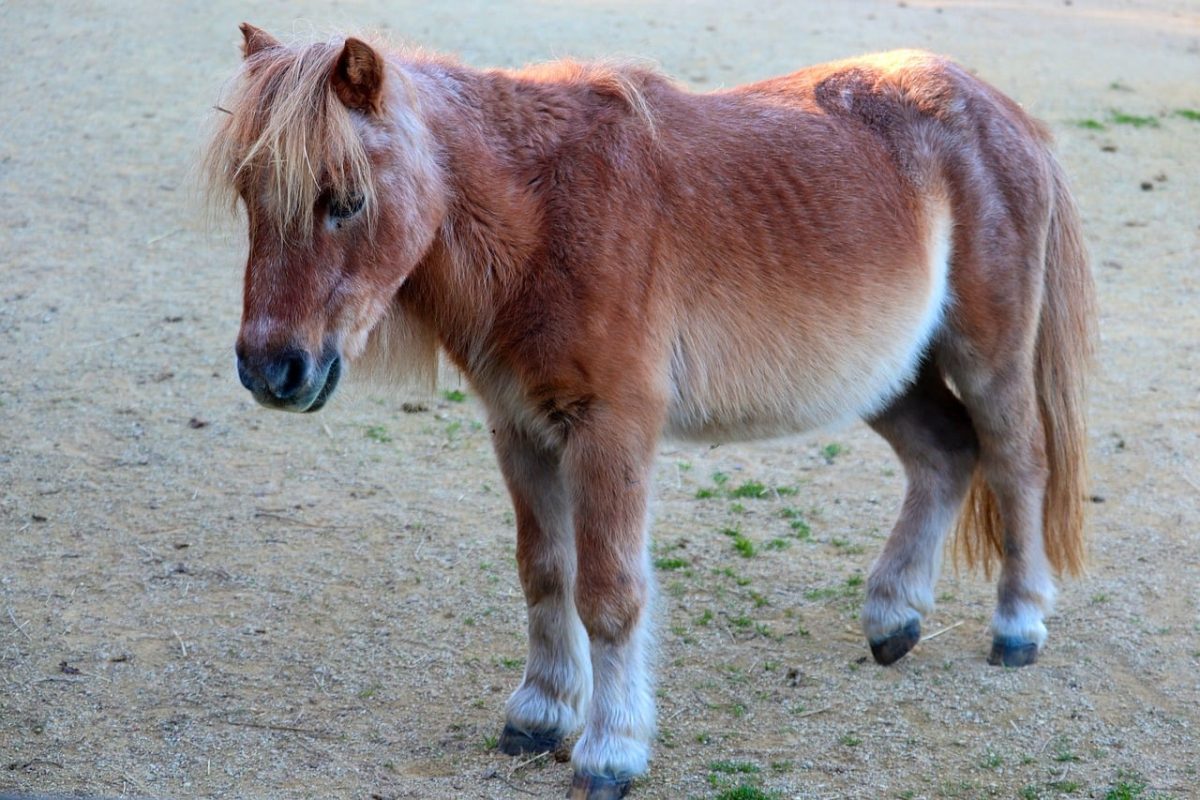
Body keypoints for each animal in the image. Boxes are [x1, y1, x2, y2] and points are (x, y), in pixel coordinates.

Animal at [206, 24, 1095, 799]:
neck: (545, 215)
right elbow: (544, 571)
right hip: (887, 374)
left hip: (986, 358)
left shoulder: (613, 433)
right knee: (945, 455)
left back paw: (1018, 626)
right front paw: (540, 713)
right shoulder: (521, 429)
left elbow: (609, 594)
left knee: (1017, 462)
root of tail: (996, 108)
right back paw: (894, 619)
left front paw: (610, 752)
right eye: (250, 194)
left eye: (346, 200)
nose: (271, 369)